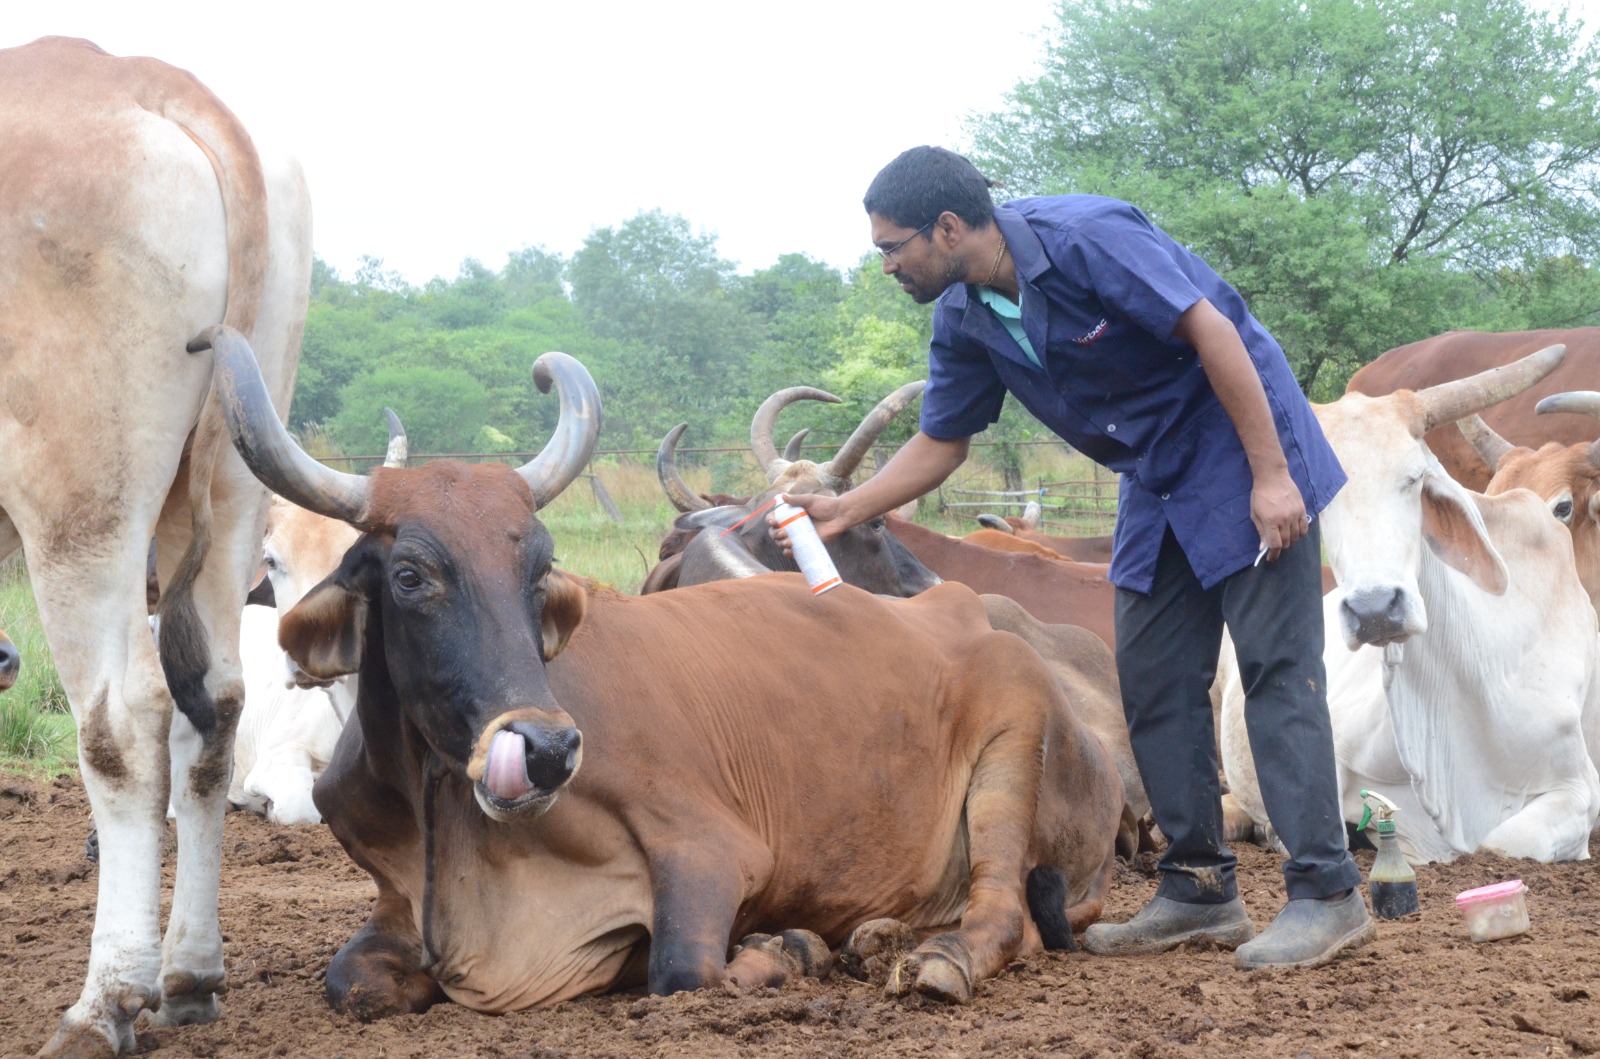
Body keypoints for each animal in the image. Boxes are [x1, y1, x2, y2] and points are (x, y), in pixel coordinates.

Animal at [0, 37, 311, 1056]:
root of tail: (133, 74)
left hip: (81, 506)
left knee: (127, 723)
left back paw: (106, 1000)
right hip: (233, 482)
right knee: (212, 706)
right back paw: (190, 976)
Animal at [193, 325, 1125, 1016]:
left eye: (540, 564)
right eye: (411, 574)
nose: (546, 749)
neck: (452, 824)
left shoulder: (711, 850)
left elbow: (684, 969)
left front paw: (788, 945)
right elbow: (349, 981)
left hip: (1012, 744)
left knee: (1005, 913)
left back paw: (930, 955)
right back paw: (878, 935)